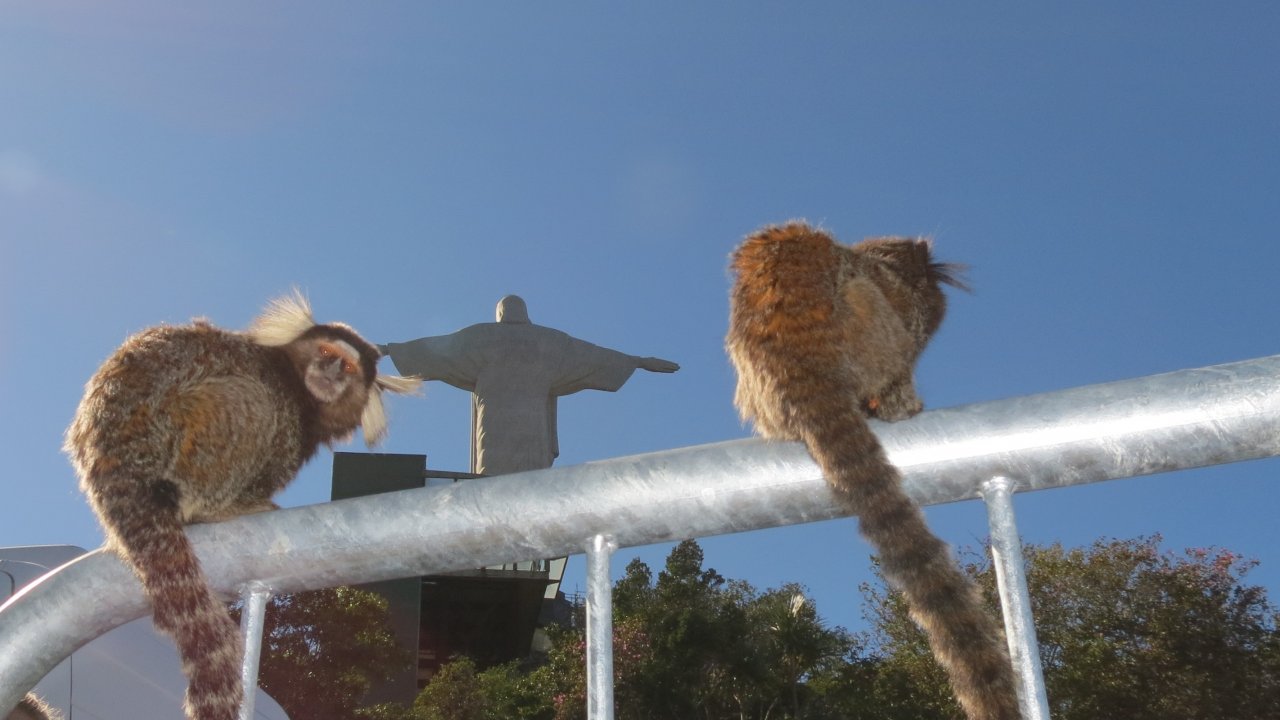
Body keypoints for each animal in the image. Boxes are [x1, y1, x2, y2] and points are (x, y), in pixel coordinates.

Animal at [63, 292, 422, 720]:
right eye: (325, 351)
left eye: (347, 365)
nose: (331, 370)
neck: (300, 390)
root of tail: (116, 459)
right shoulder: (285, 416)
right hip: (182, 434)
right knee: (249, 400)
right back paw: (216, 508)